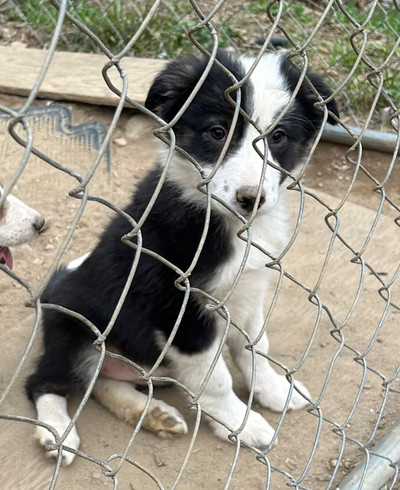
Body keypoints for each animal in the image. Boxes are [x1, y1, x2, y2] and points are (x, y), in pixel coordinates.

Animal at [26, 51, 338, 466]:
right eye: (217, 132)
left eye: (277, 138)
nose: (251, 199)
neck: (224, 222)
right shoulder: (180, 307)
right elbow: (217, 377)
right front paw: (240, 424)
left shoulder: (250, 292)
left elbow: (255, 347)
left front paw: (273, 390)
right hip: (72, 327)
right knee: (44, 382)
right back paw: (57, 432)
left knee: (102, 382)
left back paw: (152, 414)